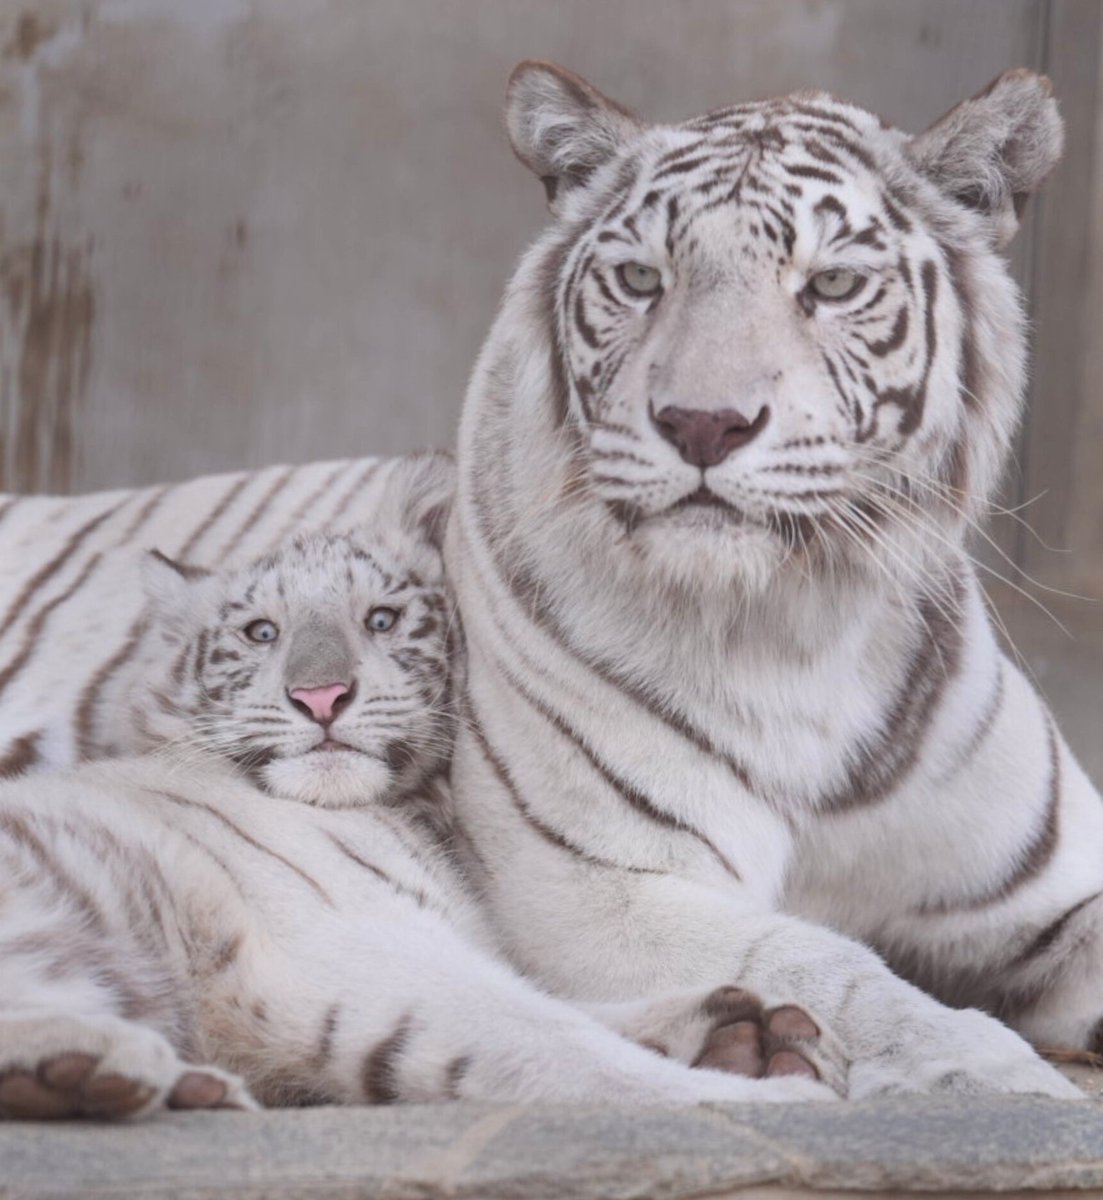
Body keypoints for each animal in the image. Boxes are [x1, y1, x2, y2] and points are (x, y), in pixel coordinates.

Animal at [446, 60, 1094, 1099]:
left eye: (830, 284)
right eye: (641, 279)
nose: (702, 424)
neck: (796, 631)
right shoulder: (601, 888)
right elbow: (827, 963)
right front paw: (991, 1076)